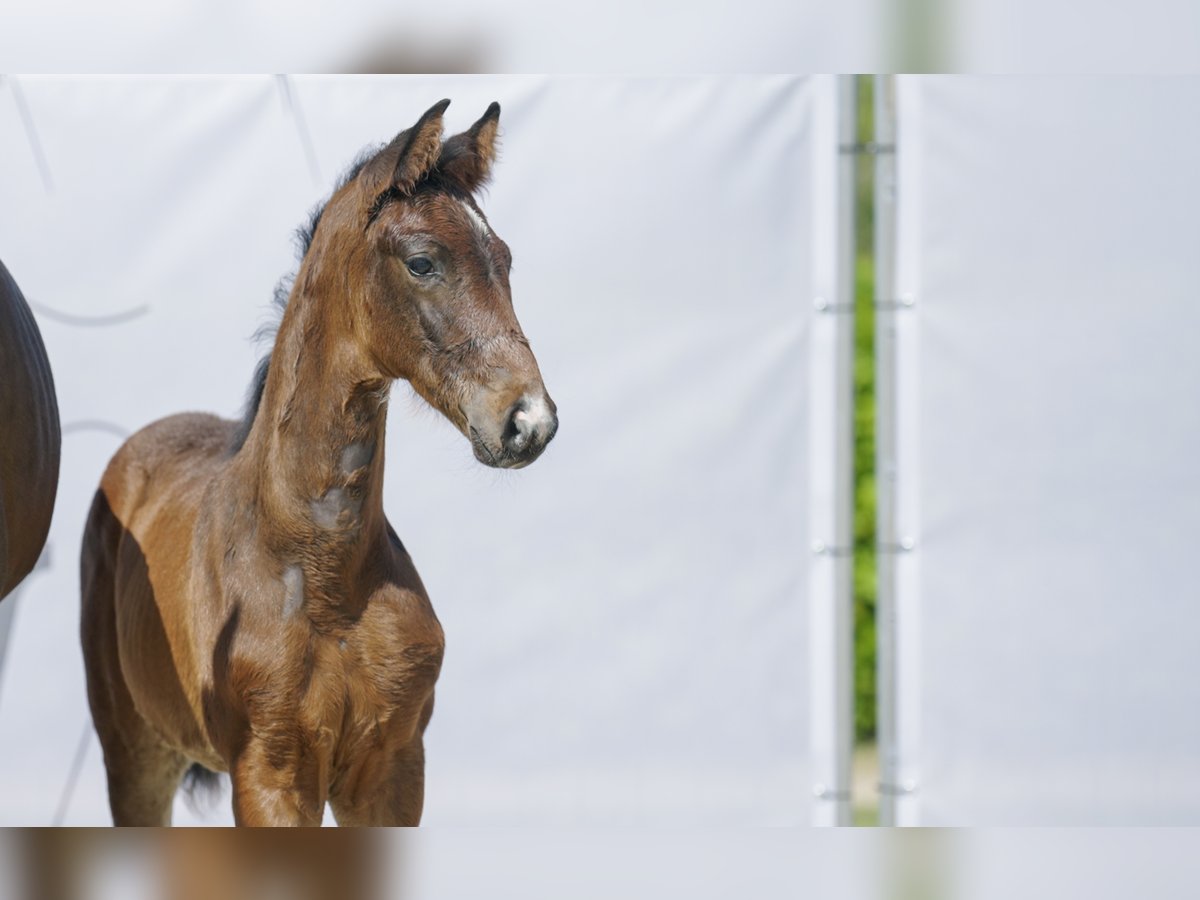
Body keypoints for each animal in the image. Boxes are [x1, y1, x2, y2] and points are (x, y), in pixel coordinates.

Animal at [79, 102, 556, 830]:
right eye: (422, 261)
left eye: (503, 258)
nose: (529, 421)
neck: (326, 581)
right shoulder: (271, 775)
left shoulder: (393, 770)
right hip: (134, 752)